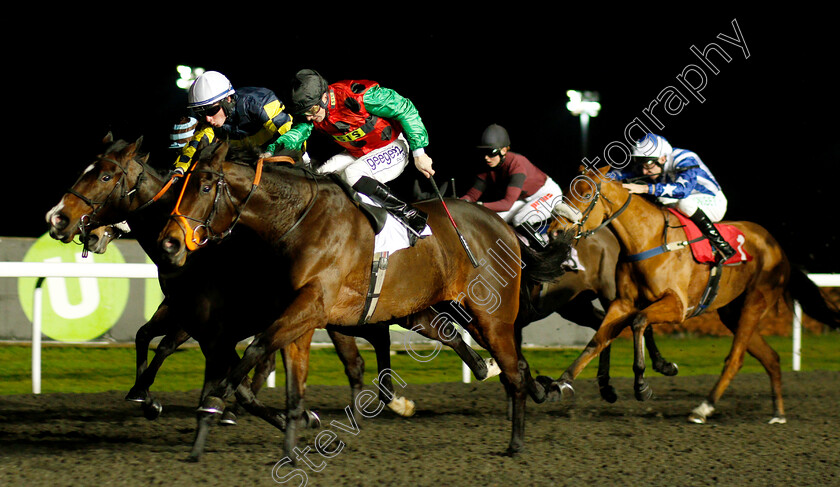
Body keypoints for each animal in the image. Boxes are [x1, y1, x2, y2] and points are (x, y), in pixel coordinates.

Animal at [42, 135, 416, 426]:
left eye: (105, 176)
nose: (57, 218)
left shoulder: (208, 319)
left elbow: (171, 346)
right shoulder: (184, 311)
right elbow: (145, 336)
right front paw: (145, 396)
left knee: (370, 343)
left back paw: (388, 400)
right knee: (364, 348)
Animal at [155, 140, 576, 458]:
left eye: (204, 188)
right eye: (180, 187)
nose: (169, 242)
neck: (301, 219)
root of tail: (503, 226)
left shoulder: (311, 307)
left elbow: (257, 349)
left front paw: (212, 408)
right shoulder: (306, 313)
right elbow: (293, 381)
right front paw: (292, 442)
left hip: (492, 313)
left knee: (512, 369)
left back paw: (516, 442)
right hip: (449, 308)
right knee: (499, 358)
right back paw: (527, 386)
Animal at [548, 166, 836, 426]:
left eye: (586, 194)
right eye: (567, 191)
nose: (554, 231)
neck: (648, 241)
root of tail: (779, 249)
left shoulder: (677, 307)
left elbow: (639, 322)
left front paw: (642, 384)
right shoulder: (622, 303)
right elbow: (598, 339)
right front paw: (561, 382)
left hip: (755, 303)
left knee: (736, 358)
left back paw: (704, 407)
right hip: (732, 313)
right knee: (771, 358)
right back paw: (778, 413)